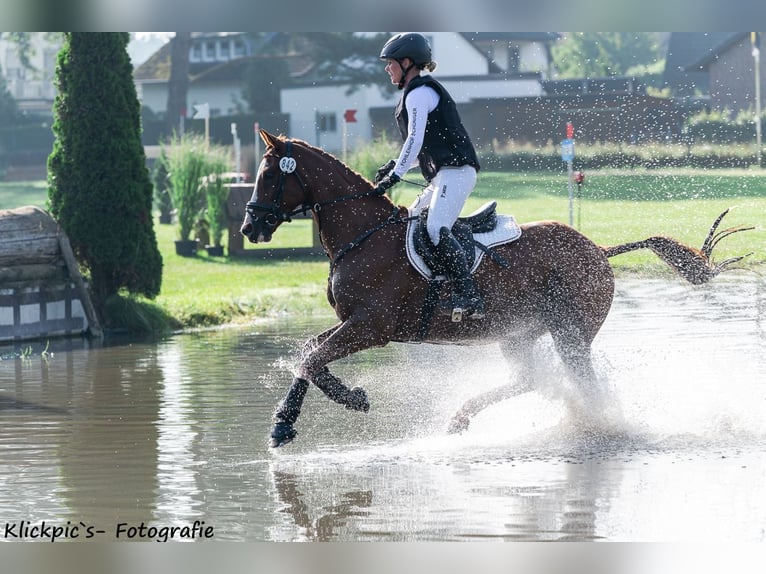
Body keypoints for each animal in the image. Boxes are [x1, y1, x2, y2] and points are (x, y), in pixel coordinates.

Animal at [242, 130, 756, 450]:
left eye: (269, 175)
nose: (250, 227)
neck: (364, 235)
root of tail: (597, 248)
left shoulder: (372, 326)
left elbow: (311, 356)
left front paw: (296, 419)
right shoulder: (354, 324)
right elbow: (310, 353)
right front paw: (332, 403)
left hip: (570, 333)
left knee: (582, 385)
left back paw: (594, 431)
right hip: (520, 332)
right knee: (532, 378)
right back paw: (461, 418)